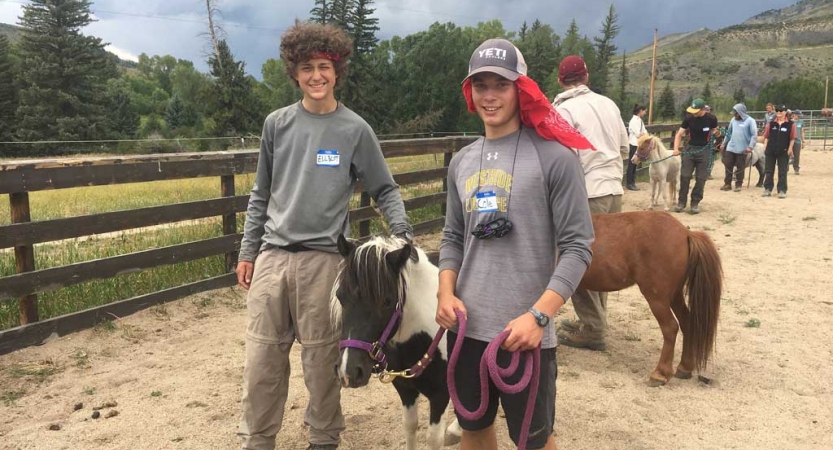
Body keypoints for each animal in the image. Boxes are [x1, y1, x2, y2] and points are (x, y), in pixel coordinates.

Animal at [332, 237, 462, 448]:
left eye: (387, 301)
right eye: (340, 296)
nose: (349, 371)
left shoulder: (440, 394)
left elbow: (434, 439)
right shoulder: (405, 389)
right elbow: (410, 426)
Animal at [580, 212, 720, 386]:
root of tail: (686, 233)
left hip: (657, 298)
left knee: (670, 327)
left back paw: (660, 373)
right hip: (674, 295)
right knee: (687, 322)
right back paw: (684, 367)